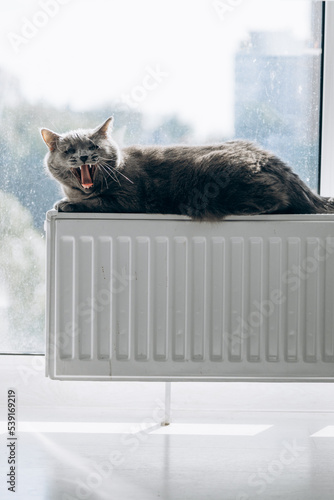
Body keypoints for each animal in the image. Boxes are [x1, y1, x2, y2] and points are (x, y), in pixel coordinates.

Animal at [40, 118, 332, 220]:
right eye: (69, 151)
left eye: (93, 146)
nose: (84, 156)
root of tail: (269, 157)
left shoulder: (127, 199)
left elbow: (99, 202)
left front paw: (66, 205)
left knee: (277, 199)